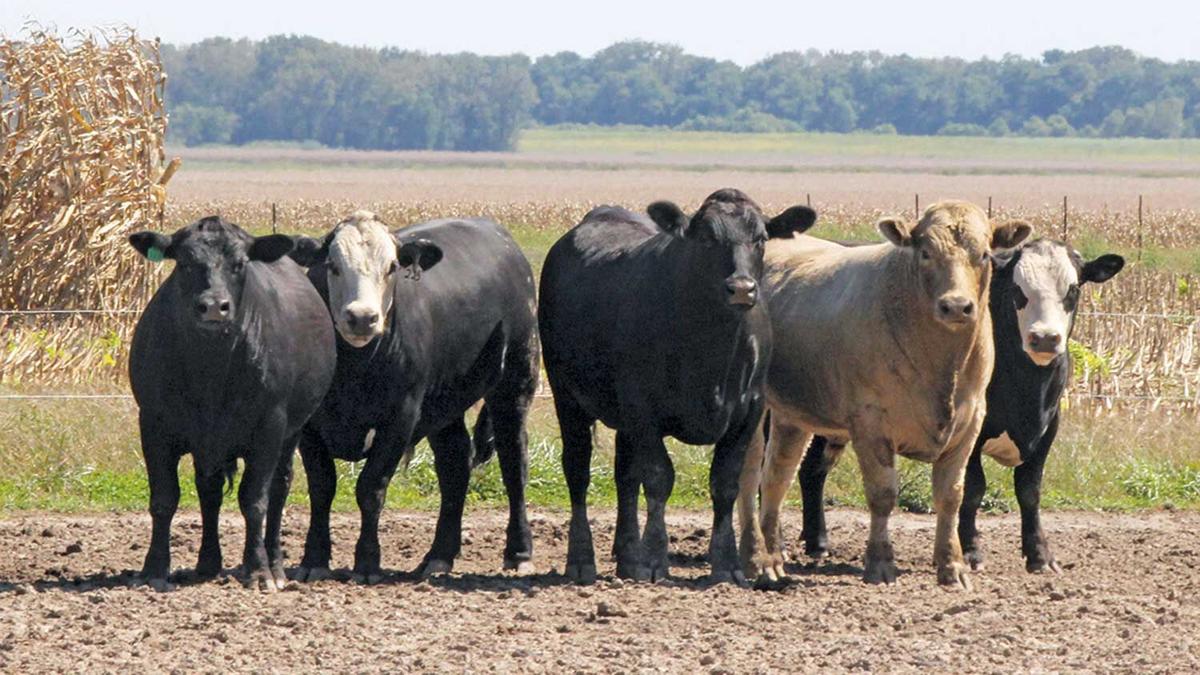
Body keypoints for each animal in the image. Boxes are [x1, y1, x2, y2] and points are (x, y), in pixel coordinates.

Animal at [127, 216, 336, 592]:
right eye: (184, 262)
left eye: (240, 264)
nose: (213, 305)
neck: (210, 369)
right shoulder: (154, 424)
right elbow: (164, 498)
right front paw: (153, 569)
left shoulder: (270, 427)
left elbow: (254, 500)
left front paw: (257, 571)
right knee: (208, 491)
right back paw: (207, 564)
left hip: (292, 432)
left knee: (278, 490)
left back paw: (275, 565)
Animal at [285, 211, 539, 583]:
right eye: (332, 265)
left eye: (391, 267)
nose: (362, 317)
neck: (353, 368)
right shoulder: (310, 425)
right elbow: (322, 487)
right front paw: (313, 559)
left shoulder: (400, 417)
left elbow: (371, 488)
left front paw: (367, 562)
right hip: (445, 407)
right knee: (454, 465)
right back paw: (438, 556)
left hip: (516, 381)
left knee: (514, 462)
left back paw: (519, 552)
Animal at [538, 189, 816, 585]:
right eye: (706, 238)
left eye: (761, 239)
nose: (741, 288)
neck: (712, 350)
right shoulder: (643, 409)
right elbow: (658, 478)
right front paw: (656, 558)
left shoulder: (748, 410)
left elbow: (725, 482)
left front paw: (726, 564)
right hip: (567, 396)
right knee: (577, 469)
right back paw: (581, 560)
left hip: (624, 419)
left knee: (625, 476)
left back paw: (628, 557)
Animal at [737, 200, 1031, 589]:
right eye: (925, 252)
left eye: (984, 254)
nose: (956, 306)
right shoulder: (870, 423)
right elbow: (882, 495)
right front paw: (879, 563)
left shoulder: (969, 423)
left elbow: (951, 496)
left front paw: (952, 566)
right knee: (749, 475)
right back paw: (754, 558)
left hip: (791, 415)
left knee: (776, 477)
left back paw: (774, 560)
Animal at [796, 239, 1124, 574]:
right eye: (1017, 289)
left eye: (1073, 289)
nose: (1044, 338)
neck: (1027, 390)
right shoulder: (970, 431)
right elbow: (973, 490)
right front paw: (971, 551)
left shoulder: (1047, 430)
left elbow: (1030, 492)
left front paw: (1040, 556)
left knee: (813, 468)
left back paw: (816, 541)